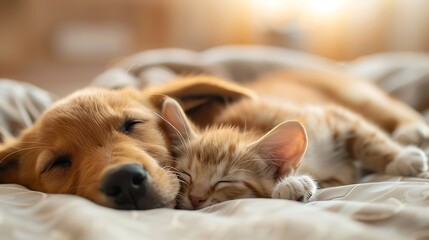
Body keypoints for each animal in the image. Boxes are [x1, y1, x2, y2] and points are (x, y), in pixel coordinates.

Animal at [161, 97, 428, 210]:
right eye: (185, 175)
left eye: (225, 181)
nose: (195, 199)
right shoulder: (342, 175)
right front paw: (294, 185)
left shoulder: (332, 117)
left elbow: (368, 137)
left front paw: (400, 158)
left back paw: (411, 134)